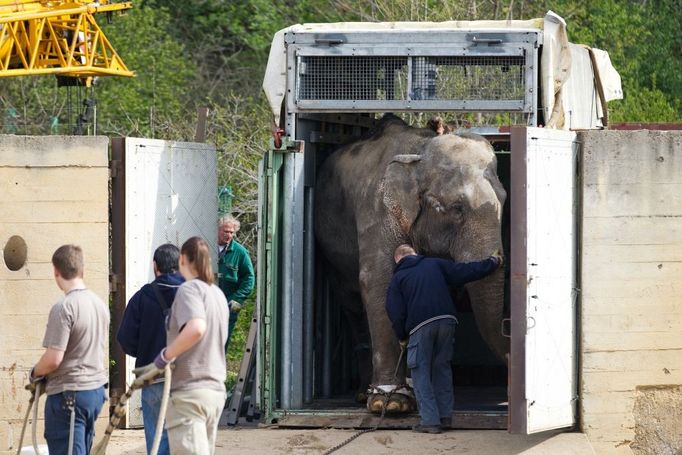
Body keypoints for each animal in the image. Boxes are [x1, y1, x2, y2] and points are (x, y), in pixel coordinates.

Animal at [314, 114, 504, 414]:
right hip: (330, 254)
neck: (420, 150)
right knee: (353, 306)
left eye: (506, 200)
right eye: (455, 209)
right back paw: (364, 394)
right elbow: (379, 282)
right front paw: (389, 403)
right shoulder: (376, 211)